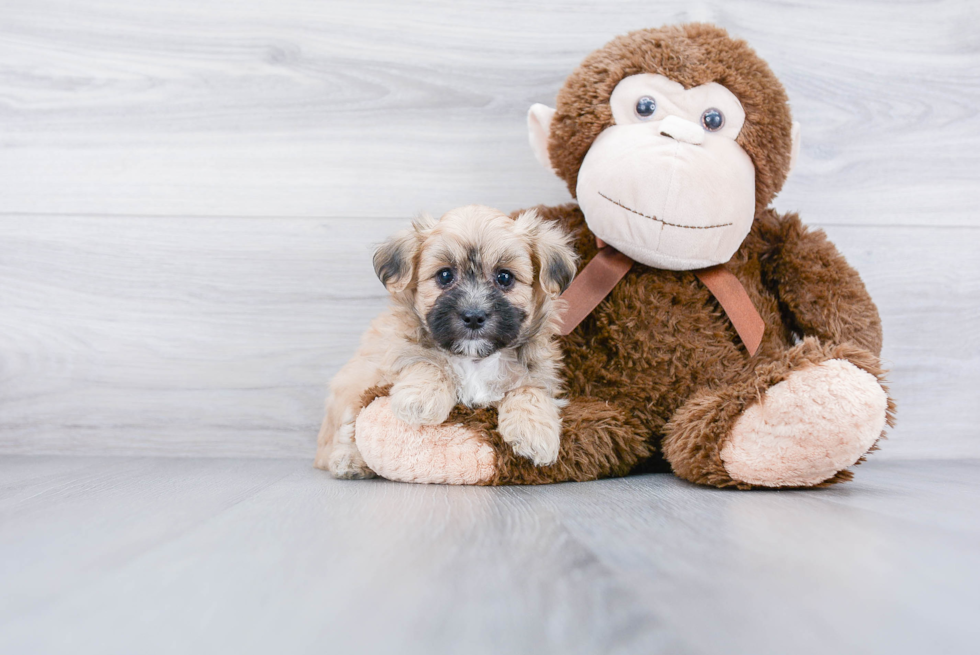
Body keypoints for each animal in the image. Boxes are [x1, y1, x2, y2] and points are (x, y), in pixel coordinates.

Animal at [314, 202, 580, 480]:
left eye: (504, 277)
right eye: (444, 276)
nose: (473, 316)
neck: (474, 360)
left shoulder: (538, 373)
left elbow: (530, 391)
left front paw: (534, 434)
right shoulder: (394, 357)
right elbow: (427, 362)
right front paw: (420, 401)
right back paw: (350, 461)